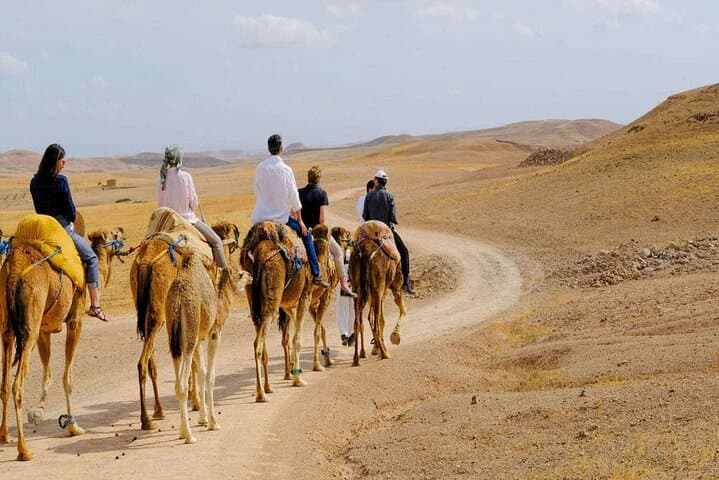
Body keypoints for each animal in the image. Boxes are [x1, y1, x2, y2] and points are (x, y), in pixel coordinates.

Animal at [0, 217, 124, 461]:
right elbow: (68, 377)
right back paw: (23, 450)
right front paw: (73, 426)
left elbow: (47, 373)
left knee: (4, 384)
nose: (123, 232)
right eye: (114, 234)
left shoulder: (44, 331)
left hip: (8, 329)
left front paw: (37, 412)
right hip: (29, 326)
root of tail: (14, 269)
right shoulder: (75, 321)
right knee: (17, 385)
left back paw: (4, 436)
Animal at [130, 216, 239, 430]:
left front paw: (192, 398)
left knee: (149, 360)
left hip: (148, 314)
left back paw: (158, 411)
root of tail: (146, 262)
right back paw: (146, 420)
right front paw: (196, 403)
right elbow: (195, 363)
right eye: (232, 234)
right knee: (142, 362)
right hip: (159, 314)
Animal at [166, 252, 249, 444]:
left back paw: (182, 432)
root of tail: (178, 300)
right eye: (240, 274)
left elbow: (202, 373)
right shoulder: (214, 334)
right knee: (181, 384)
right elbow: (210, 375)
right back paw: (189, 436)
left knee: (177, 381)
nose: (251, 276)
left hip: (175, 338)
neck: (219, 303)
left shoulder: (198, 339)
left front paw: (203, 419)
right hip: (189, 330)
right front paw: (213, 422)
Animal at [240, 221, 311, 402]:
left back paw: (268, 387)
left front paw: (291, 371)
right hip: (272, 297)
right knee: (257, 344)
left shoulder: (286, 304)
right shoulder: (305, 295)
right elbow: (297, 338)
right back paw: (261, 394)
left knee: (261, 339)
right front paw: (297, 379)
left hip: (254, 299)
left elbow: (288, 335)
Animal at [349, 220, 407, 366]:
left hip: (358, 290)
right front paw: (395, 336)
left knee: (358, 322)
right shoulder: (395, 288)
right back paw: (385, 354)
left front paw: (376, 348)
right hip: (378, 287)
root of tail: (365, 253)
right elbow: (402, 311)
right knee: (374, 321)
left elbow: (377, 318)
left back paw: (357, 358)